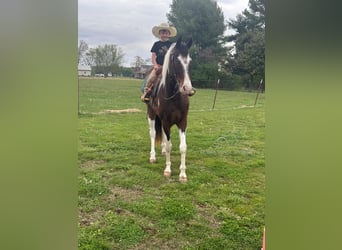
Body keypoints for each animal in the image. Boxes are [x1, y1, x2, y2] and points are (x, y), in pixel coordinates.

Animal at [145, 36, 195, 182]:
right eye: (176, 60)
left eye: (189, 61)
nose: (187, 88)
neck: (174, 97)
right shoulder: (166, 122)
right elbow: (169, 146)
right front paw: (167, 170)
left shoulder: (183, 122)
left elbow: (183, 147)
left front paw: (183, 174)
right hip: (151, 115)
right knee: (152, 134)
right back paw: (153, 156)